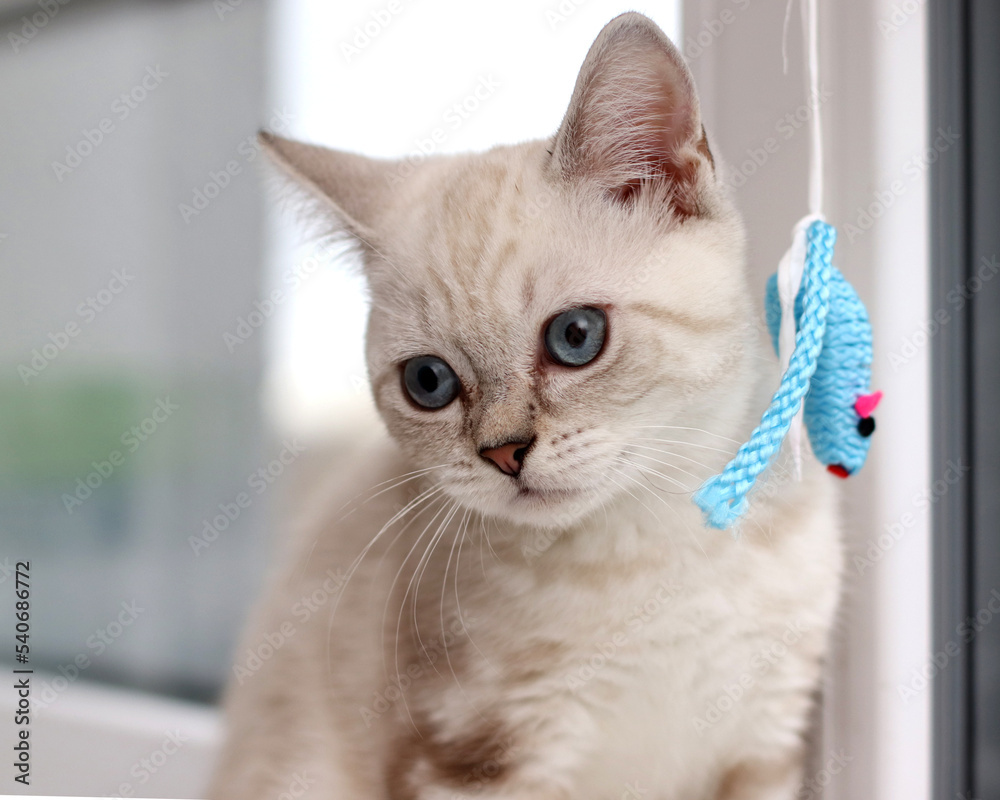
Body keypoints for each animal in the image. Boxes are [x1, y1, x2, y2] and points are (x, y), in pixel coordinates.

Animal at [209, 14, 844, 800]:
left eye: (576, 336)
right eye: (428, 382)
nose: (504, 453)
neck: (647, 546)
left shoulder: (765, 739)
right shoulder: (477, 755)